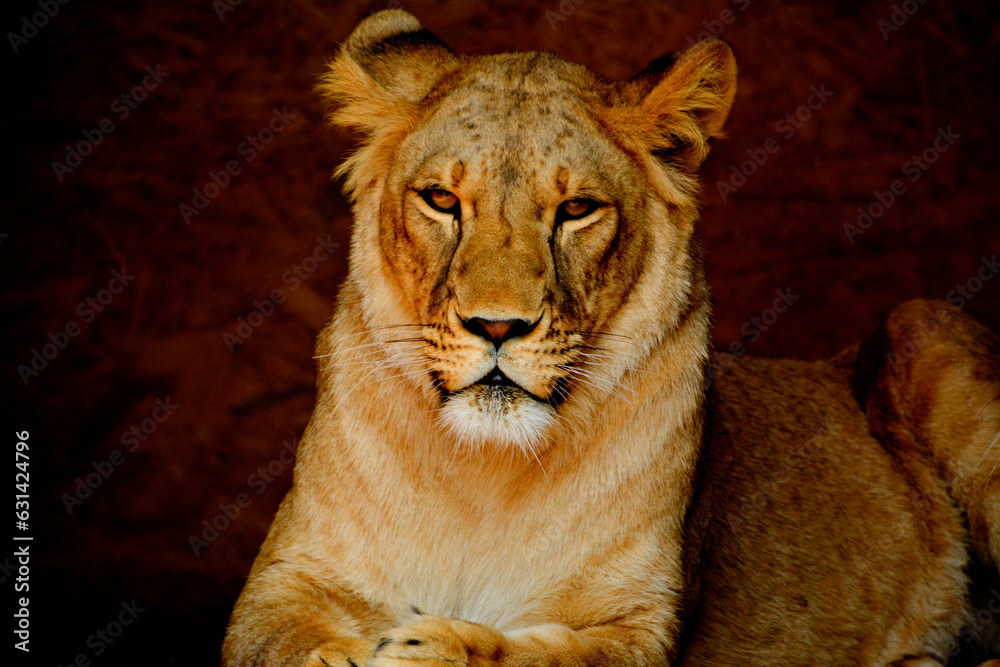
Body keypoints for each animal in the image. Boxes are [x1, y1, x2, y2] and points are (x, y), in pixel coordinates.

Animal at [222, 10, 1000, 667]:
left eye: (577, 210)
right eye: (441, 199)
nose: (498, 325)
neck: (482, 476)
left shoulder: (641, 624)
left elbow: (543, 655)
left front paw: (433, 646)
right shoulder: (282, 585)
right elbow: (281, 641)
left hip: (924, 321)